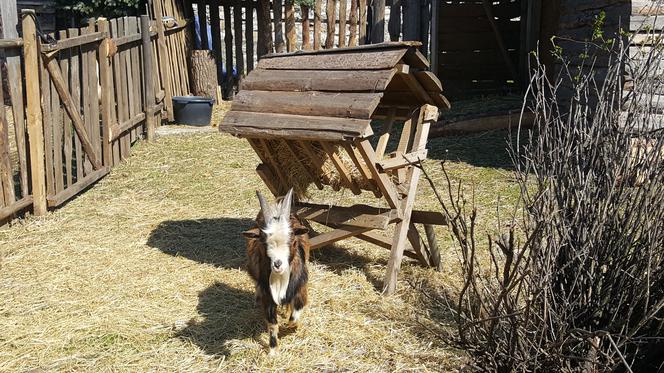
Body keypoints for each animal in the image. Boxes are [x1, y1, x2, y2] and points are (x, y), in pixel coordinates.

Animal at [243, 187, 310, 354]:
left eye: (292, 240)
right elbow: (272, 323)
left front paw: (292, 326)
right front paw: (273, 351)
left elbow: (294, 316)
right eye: (263, 241)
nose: (278, 265)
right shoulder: (268, 295)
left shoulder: (300, 287)